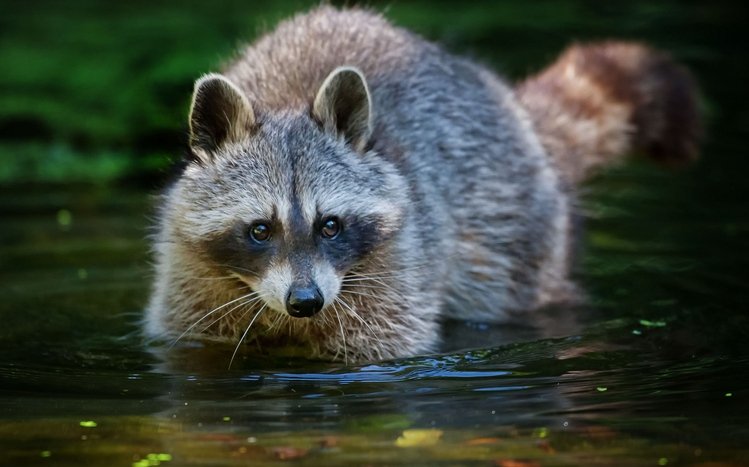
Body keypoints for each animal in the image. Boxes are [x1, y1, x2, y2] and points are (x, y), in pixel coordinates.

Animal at [145, 6, 700, 362]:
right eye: (261, 229)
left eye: (330, 225)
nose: (306, 301)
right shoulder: (189, 277)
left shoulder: (396, 271)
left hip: (513, 221)